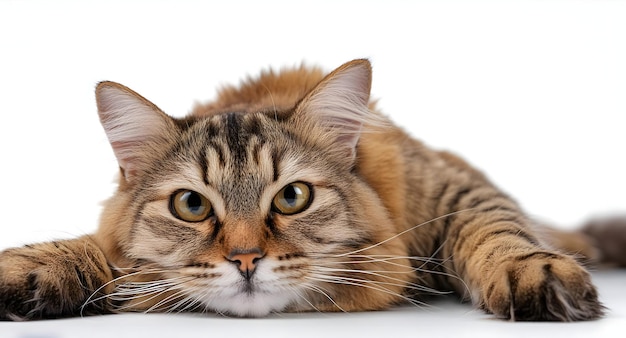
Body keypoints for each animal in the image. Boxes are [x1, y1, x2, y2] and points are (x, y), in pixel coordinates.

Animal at [1, 59, 624, 320]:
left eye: (292, 198)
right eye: (191, 205)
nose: (245, 260)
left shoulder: (454, 192)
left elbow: (498, 229)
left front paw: (533, 275)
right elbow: (91, 250)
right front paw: (31, 268)